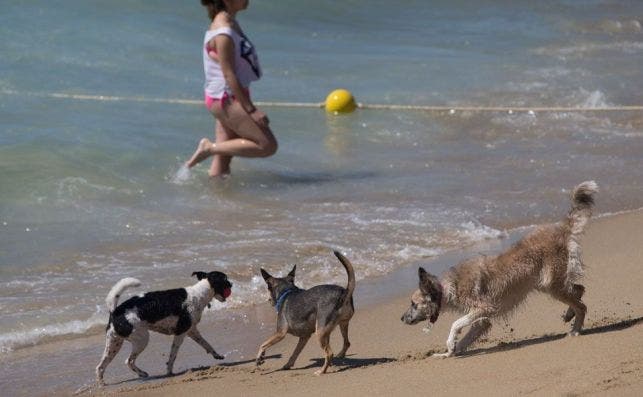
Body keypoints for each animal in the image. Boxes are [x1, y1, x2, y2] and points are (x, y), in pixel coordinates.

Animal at [95, 270, 231, 386]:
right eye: (225, 279)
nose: (232, 284)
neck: (199, 293)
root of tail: (115, 311)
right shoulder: (181, 333)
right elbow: (173, 356)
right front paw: (169, 371)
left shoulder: (192, 331)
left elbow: (206, 344)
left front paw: (217, 355)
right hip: (142, 340)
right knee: (129, 361)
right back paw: (142, 373)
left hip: (114, 344)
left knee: (101, 366)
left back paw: (102, 384)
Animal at [402, 181, 600, 358]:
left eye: (414, 304)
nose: (402, 319)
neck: (449, 286)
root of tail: (561, 228)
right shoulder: (482, 321)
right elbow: (466, 338)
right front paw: (449, 352)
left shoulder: (484, 308)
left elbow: (456, 323)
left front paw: (450, 343)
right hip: (548, 284)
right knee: (579, 290)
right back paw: (569, 315)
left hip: (551, 285)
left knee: (581, 304)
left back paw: (575, 330)